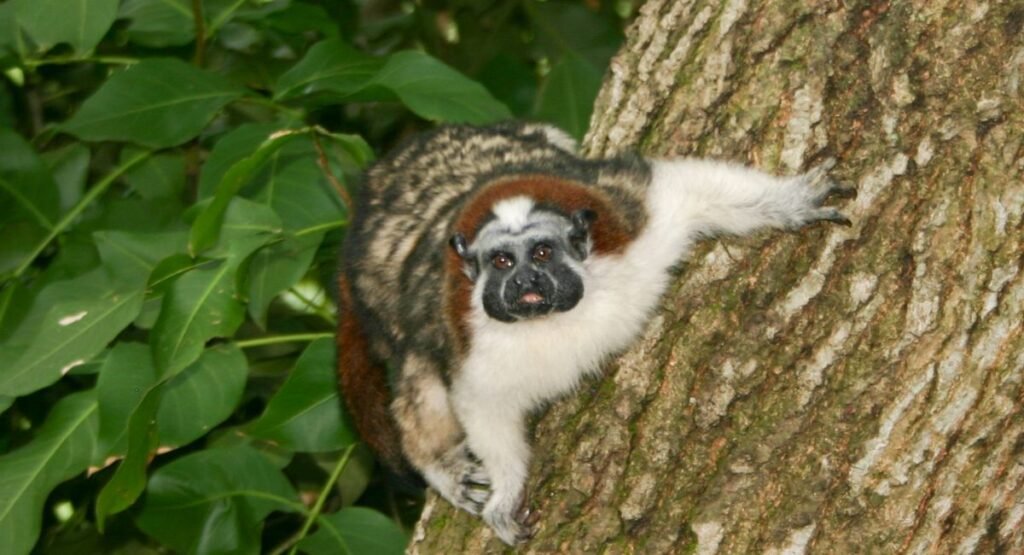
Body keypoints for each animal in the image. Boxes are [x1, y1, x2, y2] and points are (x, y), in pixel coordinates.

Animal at [336, 122, 852, 544]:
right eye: (502, 262)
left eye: (542, 253)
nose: (524, 283)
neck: (561, 316)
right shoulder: (468, 335)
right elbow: (481, 402)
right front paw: (505, 493)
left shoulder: (629, 220)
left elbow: (687, 190)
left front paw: (792, 201)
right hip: (383, 303)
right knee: (417, 367)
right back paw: (437, 462)